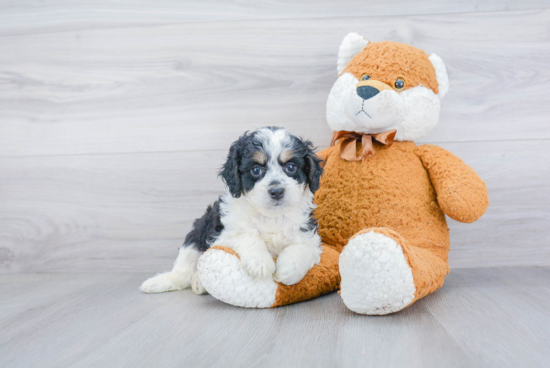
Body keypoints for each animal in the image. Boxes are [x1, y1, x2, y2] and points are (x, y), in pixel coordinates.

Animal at [140, 128, 326, 294]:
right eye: (256, 170)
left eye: (291, 167)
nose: (277, 191)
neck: (270, 217)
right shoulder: (222, 234)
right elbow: (246, 236)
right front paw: (259, 262)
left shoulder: (309, 235)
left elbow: (301, 248)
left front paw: (288, 269)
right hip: (196, 234)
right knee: (182, 271)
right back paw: (167, 281)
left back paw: (198, 283)